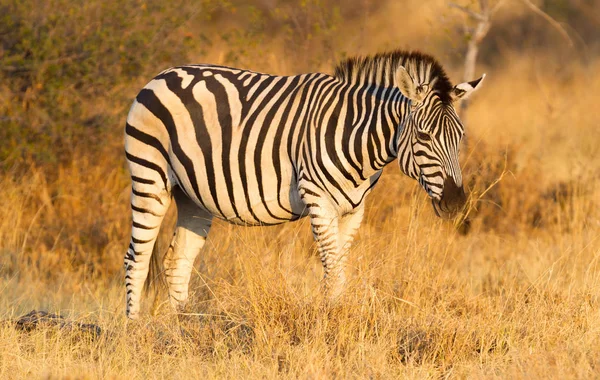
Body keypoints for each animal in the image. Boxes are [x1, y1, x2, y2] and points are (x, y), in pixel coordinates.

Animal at [124, 49, 486, 320]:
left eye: (460, 137)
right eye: (424, 136)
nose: (456, 202)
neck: (357, 138)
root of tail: (163, 75)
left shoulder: (354, 209)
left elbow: (340, 268)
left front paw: (338, 317)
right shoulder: (318, 199)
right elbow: (332, 270)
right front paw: (332, 323)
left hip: (192, 196)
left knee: (177, 262)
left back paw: (181, 329)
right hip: (149, 176)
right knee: (136, 258)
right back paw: (134, 332)